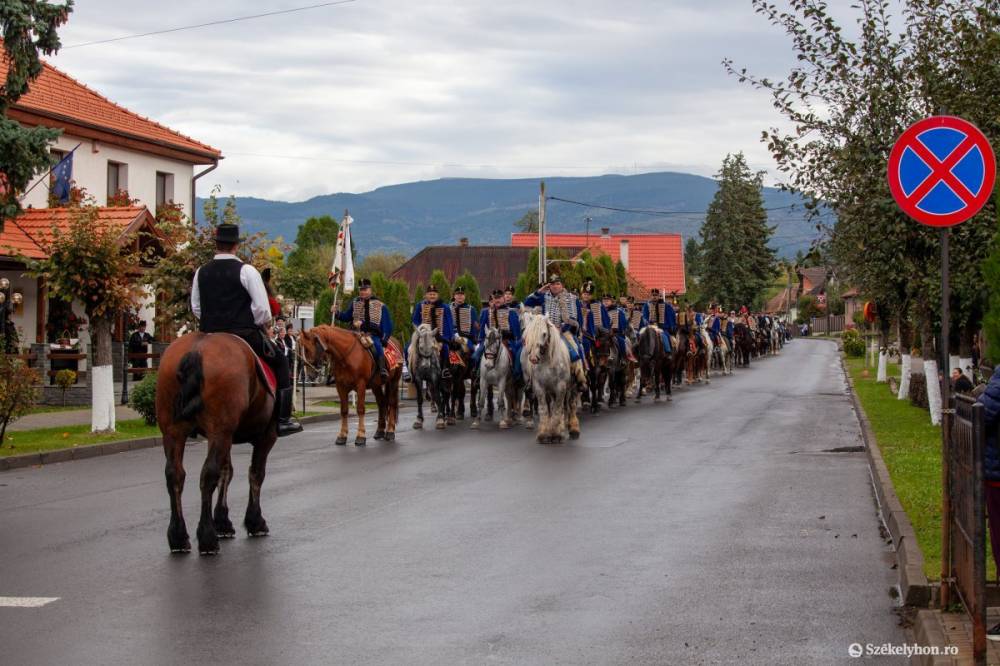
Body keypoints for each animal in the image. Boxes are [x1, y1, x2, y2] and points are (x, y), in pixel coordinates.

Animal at [156, 332, 276, 556]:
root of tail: (197, 348)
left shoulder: (224, 437)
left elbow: (226, 472)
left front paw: (223, 522)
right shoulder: (266, 436)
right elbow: (256, 474)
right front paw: (254, 521)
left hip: (174, 431)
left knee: (175, 474)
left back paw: (178, 537)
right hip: (220, 430)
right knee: (207, 474)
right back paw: (207, 538)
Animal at [520, 312, 584, 440]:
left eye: (544, 334)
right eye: (528, 334)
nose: (533, 358)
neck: (547, 361)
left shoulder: (560, 387)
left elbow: (557, 408)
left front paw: (556, 434)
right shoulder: (540, 388)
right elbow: (544, 409)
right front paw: (544, 434)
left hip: (573, 386)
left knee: (571, 404)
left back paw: (573, 428)